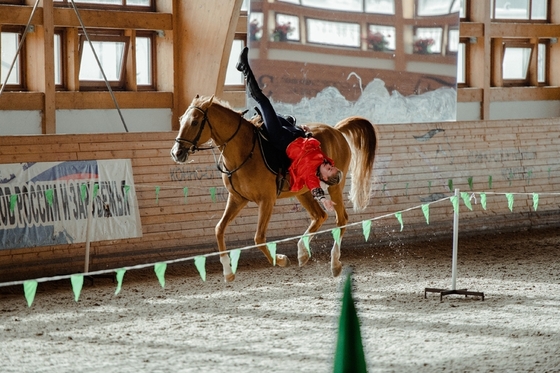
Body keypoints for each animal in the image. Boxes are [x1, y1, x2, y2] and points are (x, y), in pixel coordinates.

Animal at [171, 94, 378, 280]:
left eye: (195, 122)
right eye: (181, 120)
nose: (176, 153)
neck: (243, 150)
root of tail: (336, 130)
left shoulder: (267, 201)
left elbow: (259, 238)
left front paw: (281, 260)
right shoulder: (237, 198)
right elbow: (219, 229)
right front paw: (228, 271)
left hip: (335, 187)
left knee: (341, 219)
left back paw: (334, 263)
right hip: (302, 192)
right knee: (320, 216)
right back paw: (302, 252)